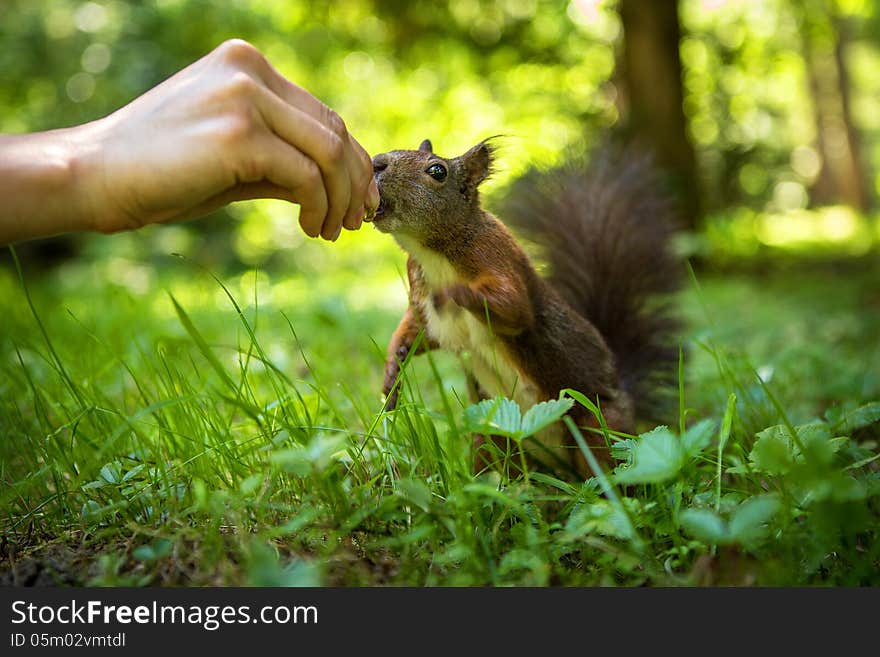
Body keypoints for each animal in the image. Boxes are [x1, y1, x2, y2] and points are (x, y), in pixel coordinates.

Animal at [372, 140, 680, 476]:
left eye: (437, 171)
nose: (376, 163)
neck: (431, 251)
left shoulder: (495, 255)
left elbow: (515, 308)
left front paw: (453, 292)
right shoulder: (421, 300)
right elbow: (415, 332)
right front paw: (391, 375)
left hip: (597, 427)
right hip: (488, 436)